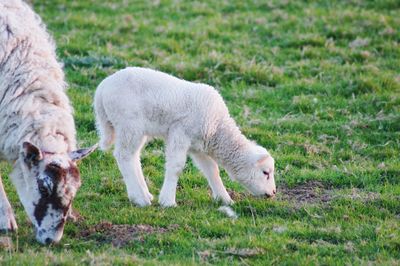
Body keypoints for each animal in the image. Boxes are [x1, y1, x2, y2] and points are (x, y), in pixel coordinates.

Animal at [94, 67, 276, 208]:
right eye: (266, 172)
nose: (273, 192)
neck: (217, 128)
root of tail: (101, 89)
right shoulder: (180, 133)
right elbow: (176, 166)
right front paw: (168, 201)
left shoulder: (199, 145)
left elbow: (212, 170)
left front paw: (225, 199)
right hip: (129, 123)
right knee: (124, 156)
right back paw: (139, 198)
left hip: (136, 128)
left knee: (134, 156)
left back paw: (145, 193)